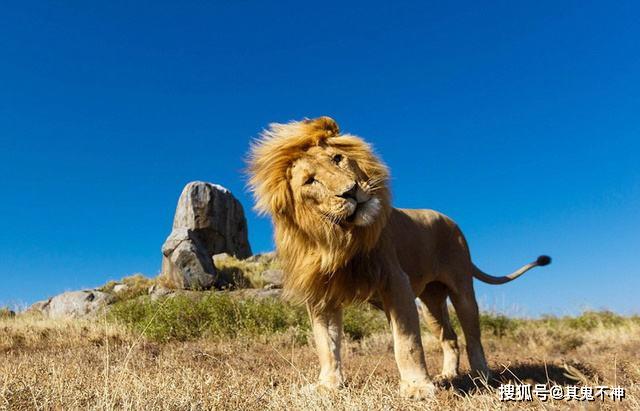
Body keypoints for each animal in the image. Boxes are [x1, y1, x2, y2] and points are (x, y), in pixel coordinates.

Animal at [245, 117, 552, 400]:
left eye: (337, 158)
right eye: (310, 181)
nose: (350, 191)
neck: (340, 238)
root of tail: (449, 220)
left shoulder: (396, 282)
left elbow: (407, 342)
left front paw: (417, 387)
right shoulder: (322, 295)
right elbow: (326, 344)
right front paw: (328, 386)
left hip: (461, 289)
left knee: (472, 335)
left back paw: (481, 375)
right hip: (430, 303)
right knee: (449, 337)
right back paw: (448, 374)